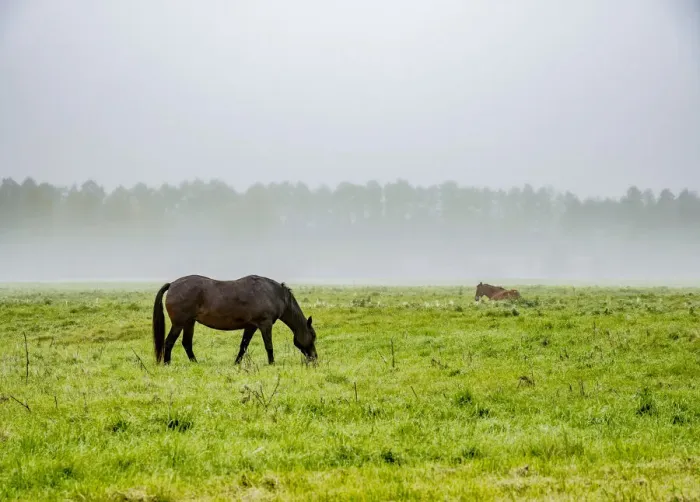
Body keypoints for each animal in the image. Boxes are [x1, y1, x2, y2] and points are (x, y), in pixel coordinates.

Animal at [152, 274, 317, 365]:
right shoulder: (265, 324)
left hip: (189, 323)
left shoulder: (251, 326)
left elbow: (243, 346)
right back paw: (167, 364)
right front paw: (272, 363)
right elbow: (269, 345)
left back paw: (195, 363)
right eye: (313, 336)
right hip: (179, 323)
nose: (315, 358)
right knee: (169, 342)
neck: (274, 294)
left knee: (186, 343)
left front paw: (236, 363)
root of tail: (172, 285)